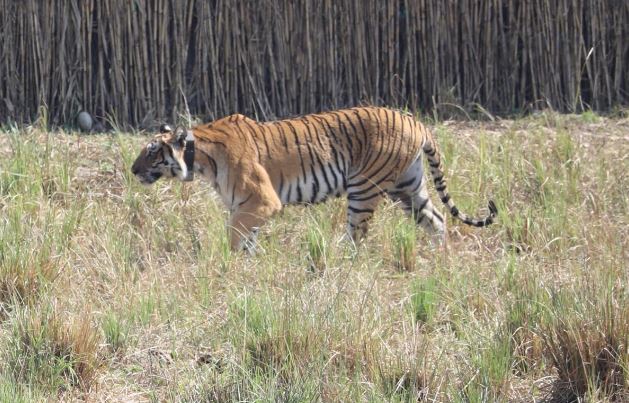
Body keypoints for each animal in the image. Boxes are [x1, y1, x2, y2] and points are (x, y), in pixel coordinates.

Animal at [132, 109, 496, 251]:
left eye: (151, 151)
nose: (133, 170)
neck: (201, 157)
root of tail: (417, 122)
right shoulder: (247, 206)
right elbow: (246, 239)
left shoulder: (261, 201)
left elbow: (234, 236)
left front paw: (230, 266)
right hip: (407, 188)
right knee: (437, 220)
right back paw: (439, 258)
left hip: (364, 189)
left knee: (357, 238)